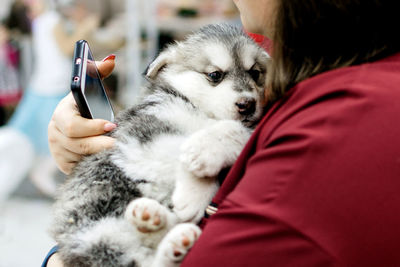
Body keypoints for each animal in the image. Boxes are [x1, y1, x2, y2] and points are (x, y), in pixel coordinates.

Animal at [50, 23, 268, 267]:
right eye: (215, 75)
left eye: (255, 73)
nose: (248, 105)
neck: (201, 111)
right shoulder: (143, 136)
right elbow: (182, 147)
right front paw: (195, 190)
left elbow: (235, 130)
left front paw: (206, 153)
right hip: (97, 223)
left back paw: (165, 230)